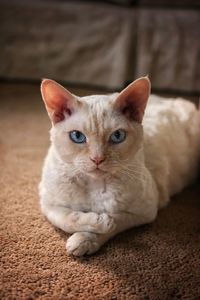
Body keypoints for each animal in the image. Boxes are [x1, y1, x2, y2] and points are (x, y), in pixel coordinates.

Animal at [39, 77, 200, 255]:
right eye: (77, 136)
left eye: (117, 136)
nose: (97, 159)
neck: (94, 185)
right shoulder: (47, 203)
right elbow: (67, 219)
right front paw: (96, 221)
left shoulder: (146, 210)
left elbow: (115, 220)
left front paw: (89, 235)